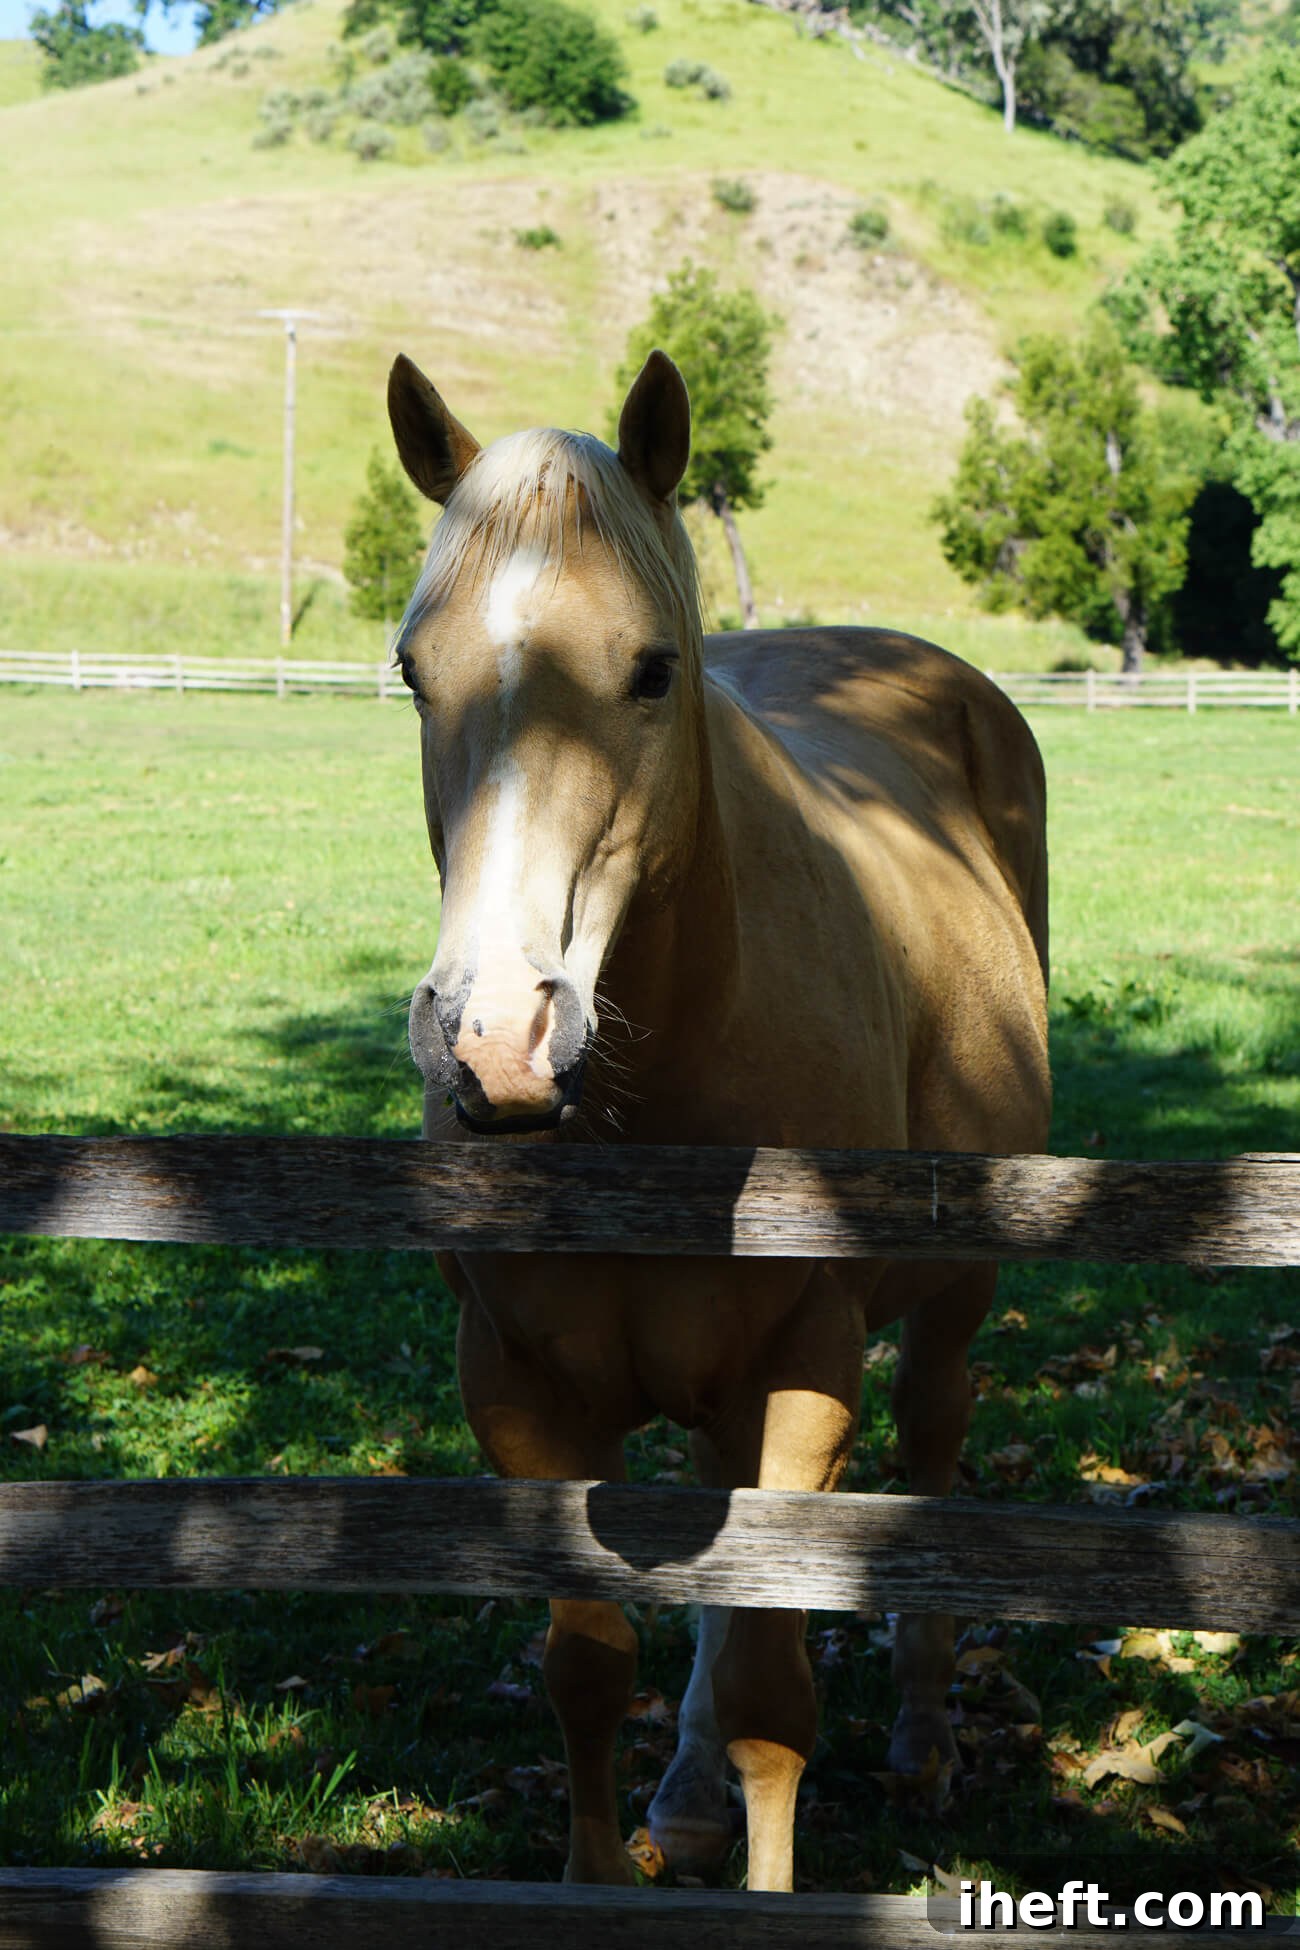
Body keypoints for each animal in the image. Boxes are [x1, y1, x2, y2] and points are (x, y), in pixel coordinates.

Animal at [386, 346, 1051, 1893]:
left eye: (651, 667)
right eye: (410, 670)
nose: (496, 1042)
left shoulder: (805, 1371)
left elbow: (767, 1692)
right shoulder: (517, 1384)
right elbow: (586, 1664)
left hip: (954, 1298)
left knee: (933, 1452)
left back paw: (924, 1741)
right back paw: (683, 1798)